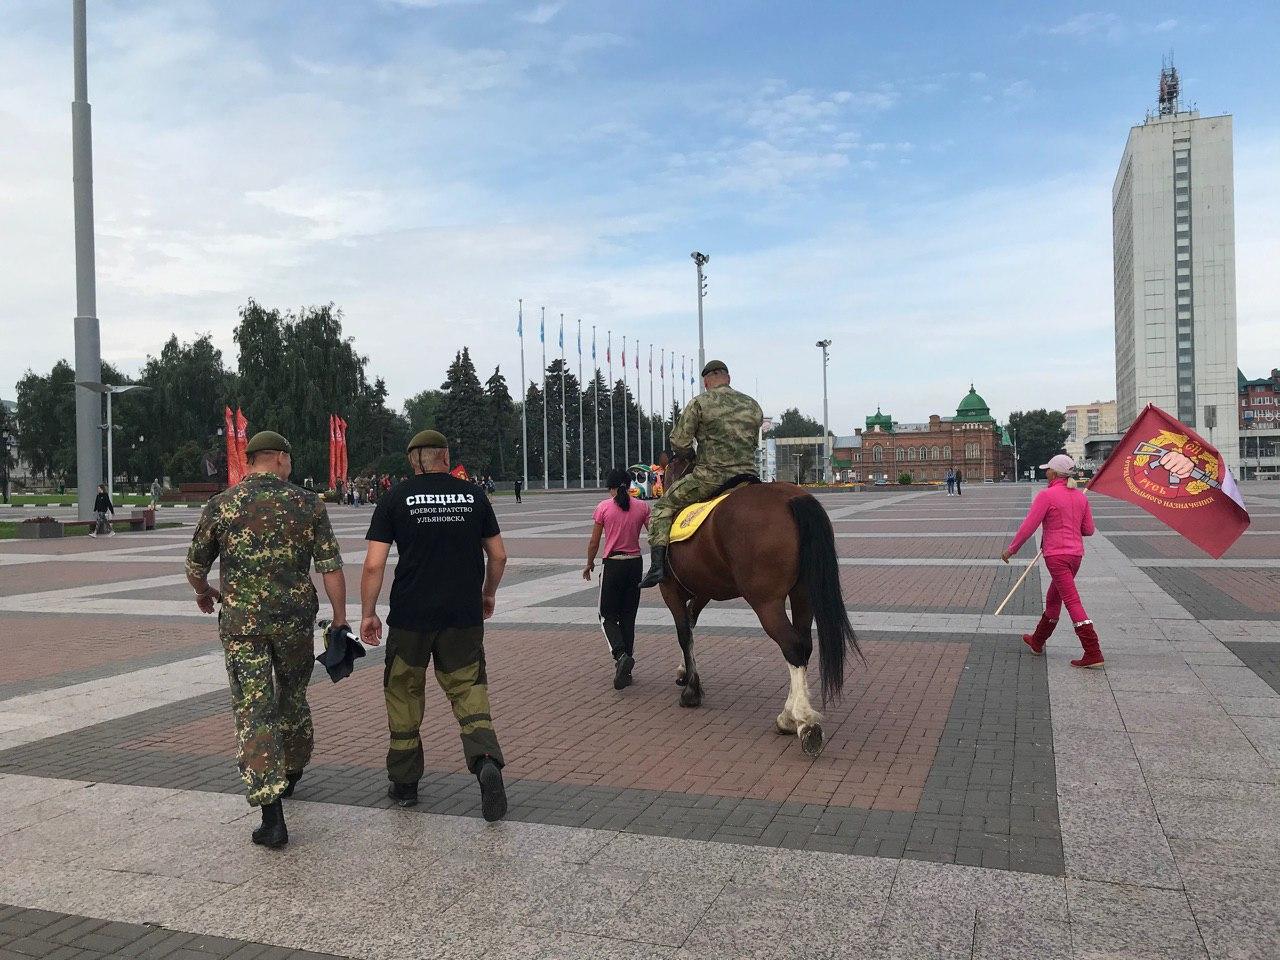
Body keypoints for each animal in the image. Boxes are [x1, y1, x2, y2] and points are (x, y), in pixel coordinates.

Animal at [660, 455, 860, 757]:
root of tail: (792, 498)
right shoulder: (704, 591)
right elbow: (692, 625)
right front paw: (685, 673)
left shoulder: (670, 590)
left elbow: (684, 633)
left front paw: (691, 690)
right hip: (803, 595)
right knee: (803, 645)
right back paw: (788, 716)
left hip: (766, 602)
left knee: (791, 645)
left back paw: (804, 722)